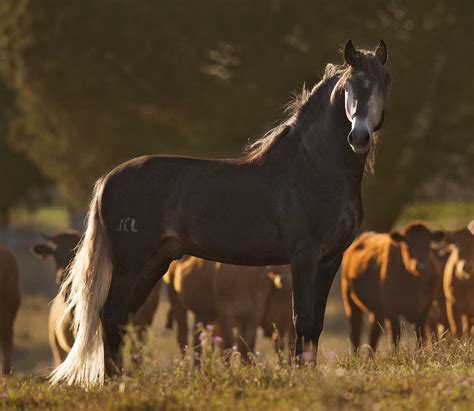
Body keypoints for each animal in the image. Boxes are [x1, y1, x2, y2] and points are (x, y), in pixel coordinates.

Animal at [51, 40, 388, 388]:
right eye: (348, 87)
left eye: (383, 82)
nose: (359, 137)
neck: (313, 167)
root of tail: (107, 179)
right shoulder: (303, 256)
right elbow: (302, 318)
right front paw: (299, 374)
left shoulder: (330, 259)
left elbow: (315, 323)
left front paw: (310, 372)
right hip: (130, 264)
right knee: (110, 314)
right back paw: (111, 382)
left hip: (154, 263)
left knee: (120, 317)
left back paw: (118, 380)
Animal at [340, 222, 444, 354]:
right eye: (407, 244)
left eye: (427, 244)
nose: (419, 266)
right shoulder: (391, 308)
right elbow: (395, 335)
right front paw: (395, 355)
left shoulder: (426, 307)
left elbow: (420, 332)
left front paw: (419, 353)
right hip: (350, 300)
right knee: (356, 333)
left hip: (377, 310)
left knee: (374, 334)